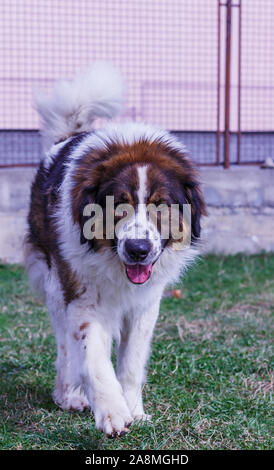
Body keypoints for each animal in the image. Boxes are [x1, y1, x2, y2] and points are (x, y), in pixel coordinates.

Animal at [24, 61, 207, 436]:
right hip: (55, 282)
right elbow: (93, 357)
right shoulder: (82, 297)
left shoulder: (145, 305)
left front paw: (133, 408)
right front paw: (111, 411)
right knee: (66, 345)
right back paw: (69, 394)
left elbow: (132, 363)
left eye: (160, 205)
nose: (137, 249)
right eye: (118, 205)